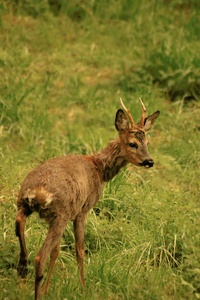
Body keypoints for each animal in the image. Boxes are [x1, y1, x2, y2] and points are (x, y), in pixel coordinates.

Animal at [15, 98, 159, 298]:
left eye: (147, 141)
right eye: (132, 144)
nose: (149, 161)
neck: (99, 168)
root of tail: (37, 191)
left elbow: (57, 252)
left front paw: (48, 288)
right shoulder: (83, 210)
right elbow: (80, 250)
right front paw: (82, 286)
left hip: (25, 204)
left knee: (20, 225)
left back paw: (22, 267)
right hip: (59, 215)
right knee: (40, 257)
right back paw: (36, 289)